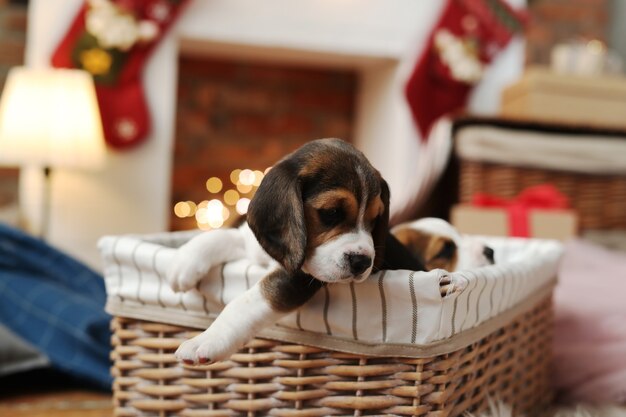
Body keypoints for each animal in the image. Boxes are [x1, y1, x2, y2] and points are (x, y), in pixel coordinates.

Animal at [166, 138, 422, 362]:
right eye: (331, 212)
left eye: (375, 219)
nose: (362, 262)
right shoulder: (256, 246)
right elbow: (225, 235)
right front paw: (184, 261)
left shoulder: (296, 277)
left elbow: (248, 301)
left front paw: (206, 340)